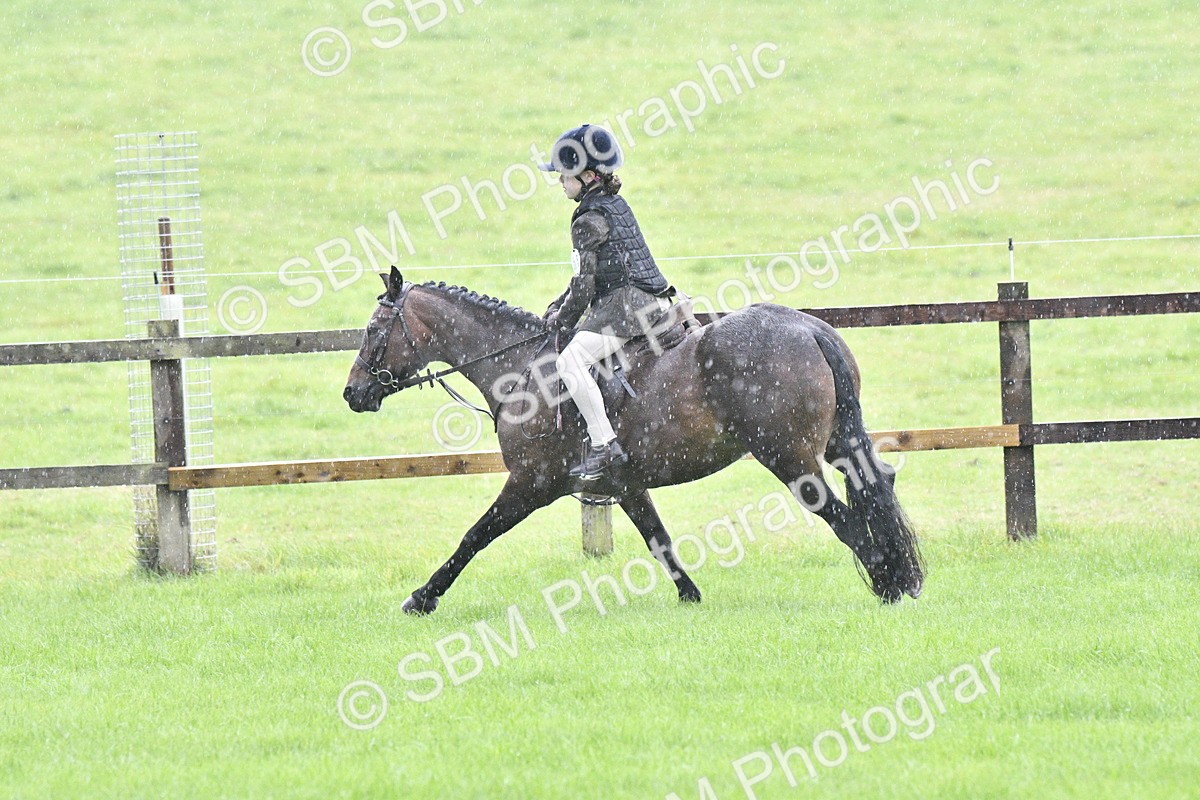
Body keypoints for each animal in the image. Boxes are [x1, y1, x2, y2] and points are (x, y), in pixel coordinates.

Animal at [343, 267, 923, 614]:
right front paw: (690, 597)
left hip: (789, 458)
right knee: (872, 490)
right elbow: (657, 538)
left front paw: (422, 598)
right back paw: (903, 578)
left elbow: (474, 536)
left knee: (843, 517)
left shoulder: (531, 483)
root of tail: (805, 328)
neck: (522, 369)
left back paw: (891, 585)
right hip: (834, 445)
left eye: (373, 330)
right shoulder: (624, 484)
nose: (353, 393)